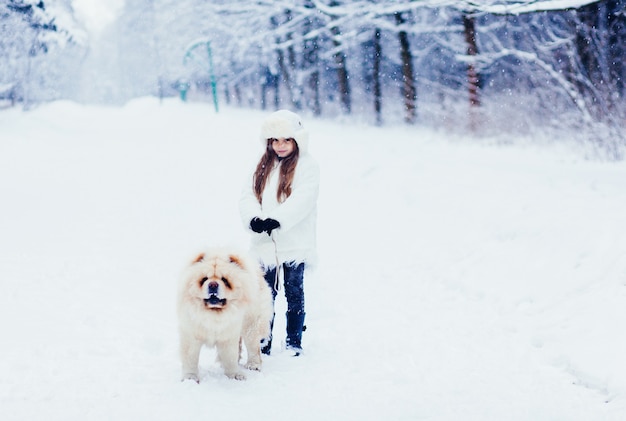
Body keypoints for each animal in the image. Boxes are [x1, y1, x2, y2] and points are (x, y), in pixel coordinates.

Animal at [177, 248, 272, 382]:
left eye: (225, 280)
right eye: (204, 279)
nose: (213, 285)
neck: (214, 314)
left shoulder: (229, 334)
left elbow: (230, 356)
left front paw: (235, 375)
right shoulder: (191, 333)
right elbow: (190, 358)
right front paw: (190, 378)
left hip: (251, 323)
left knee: (253, 346)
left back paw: (253, 365)